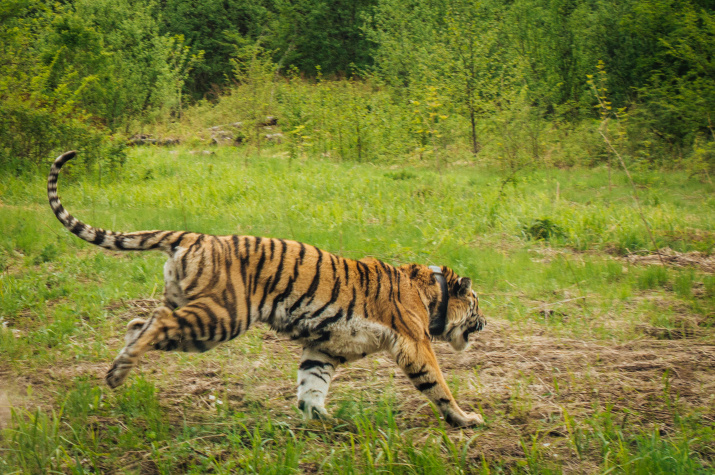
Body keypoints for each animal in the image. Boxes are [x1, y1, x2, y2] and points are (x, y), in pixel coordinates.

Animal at [47, 150, 486, 428]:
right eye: (476, 305)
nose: (485, 323)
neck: (433, 296)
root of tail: (194, 236)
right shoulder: (415, 344)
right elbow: (438, 385)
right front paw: (465, 420)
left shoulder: (323, 348)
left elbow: (312, 387)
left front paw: (325, 420)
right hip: (221, 317)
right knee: (155, 323)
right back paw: (117, 375)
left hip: (187, 302)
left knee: (139, 321)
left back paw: (118, 367)